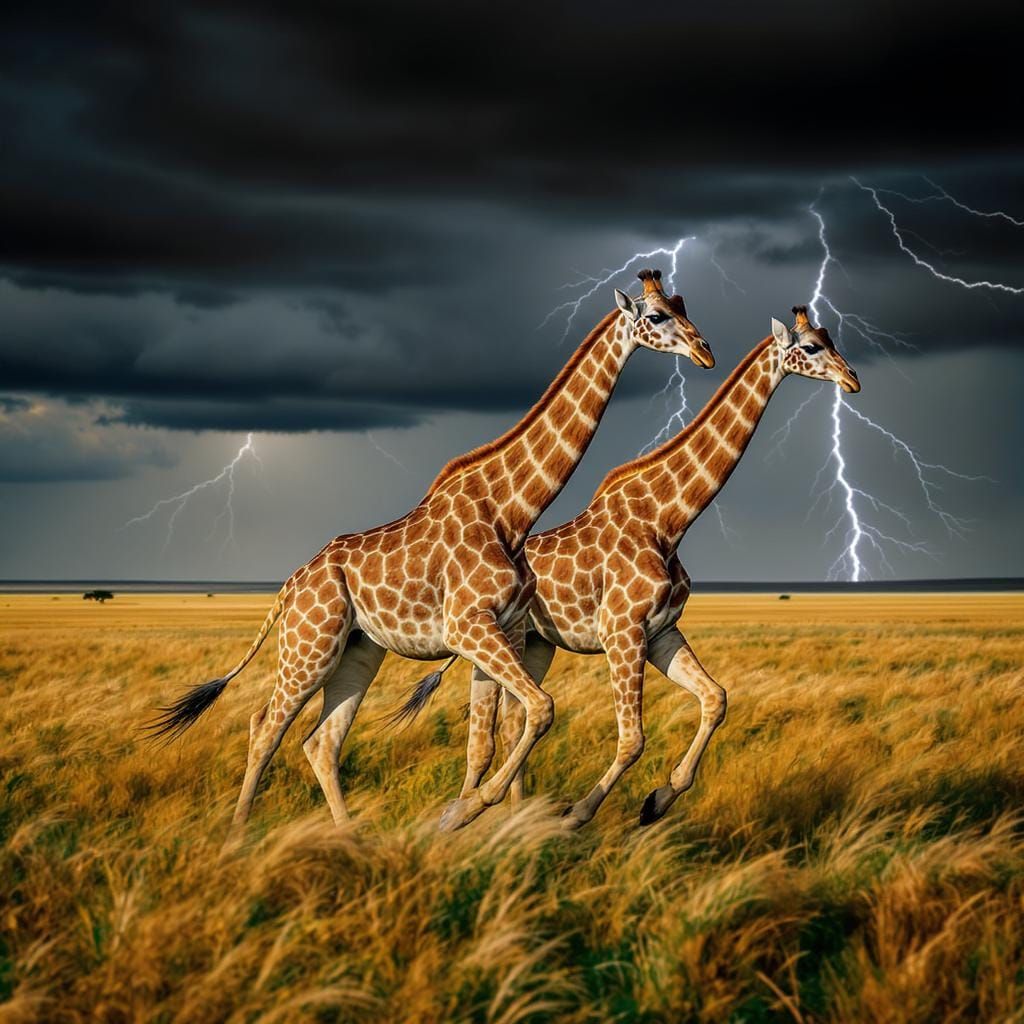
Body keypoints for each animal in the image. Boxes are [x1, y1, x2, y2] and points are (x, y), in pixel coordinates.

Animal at [149, 269, 715, 839]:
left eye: (685, 304)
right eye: (657, 315)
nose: (704, 351)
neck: (510, 511)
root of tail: (290, 585)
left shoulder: (501, 627)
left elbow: (497, 732)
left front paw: (469, 816)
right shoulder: (468, 627)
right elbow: (540, 710)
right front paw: (465, 813)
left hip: (358, 651)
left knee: (321, 740)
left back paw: (351, 840)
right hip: (310, 644)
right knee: (266, 725)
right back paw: (238, 836)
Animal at [397, 306, 860, 828]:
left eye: (831, 338)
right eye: (813, 347)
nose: (852, 379)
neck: (666, 519)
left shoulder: (661, 631)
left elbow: (716, 698)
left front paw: (658, 799)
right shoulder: (622, 631)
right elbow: (633, 737)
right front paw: (578, 814)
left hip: (537, 643)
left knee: (514, 719)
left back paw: (507, 816)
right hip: (503, 636)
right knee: (498, 724)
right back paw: (481, 814)